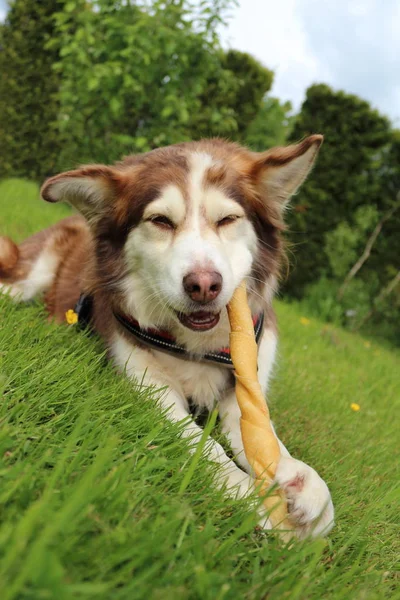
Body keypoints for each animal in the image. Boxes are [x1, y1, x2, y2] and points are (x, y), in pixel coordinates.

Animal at [0, 137, 334, 540]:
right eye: (160, 221)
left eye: (227, 220)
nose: (204, 285)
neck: (195, 347)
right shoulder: (151, 387)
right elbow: (204, 445)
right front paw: (251, 498)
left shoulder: (245, 389)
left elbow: (265, 435)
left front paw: (304, 484)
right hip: (28, 276)